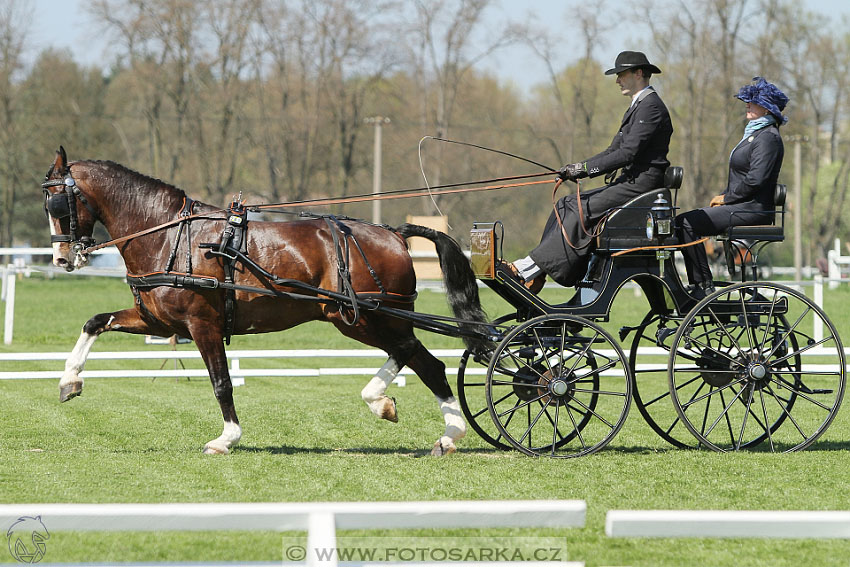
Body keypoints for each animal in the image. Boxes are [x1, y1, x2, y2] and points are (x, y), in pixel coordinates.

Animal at [43, 150, 486, 458]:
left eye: (58, 203)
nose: (63, 259)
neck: (169, 236)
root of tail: (393, 232)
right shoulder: (160, 322)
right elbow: (95, 322)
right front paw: (69, 381)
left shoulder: (202, 325)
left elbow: (221, 382)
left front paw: (226, 438)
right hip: (360, 319)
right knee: (417, 357)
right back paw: (416, 420)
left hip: (366, 317)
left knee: (417, 355)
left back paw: (417, 419)